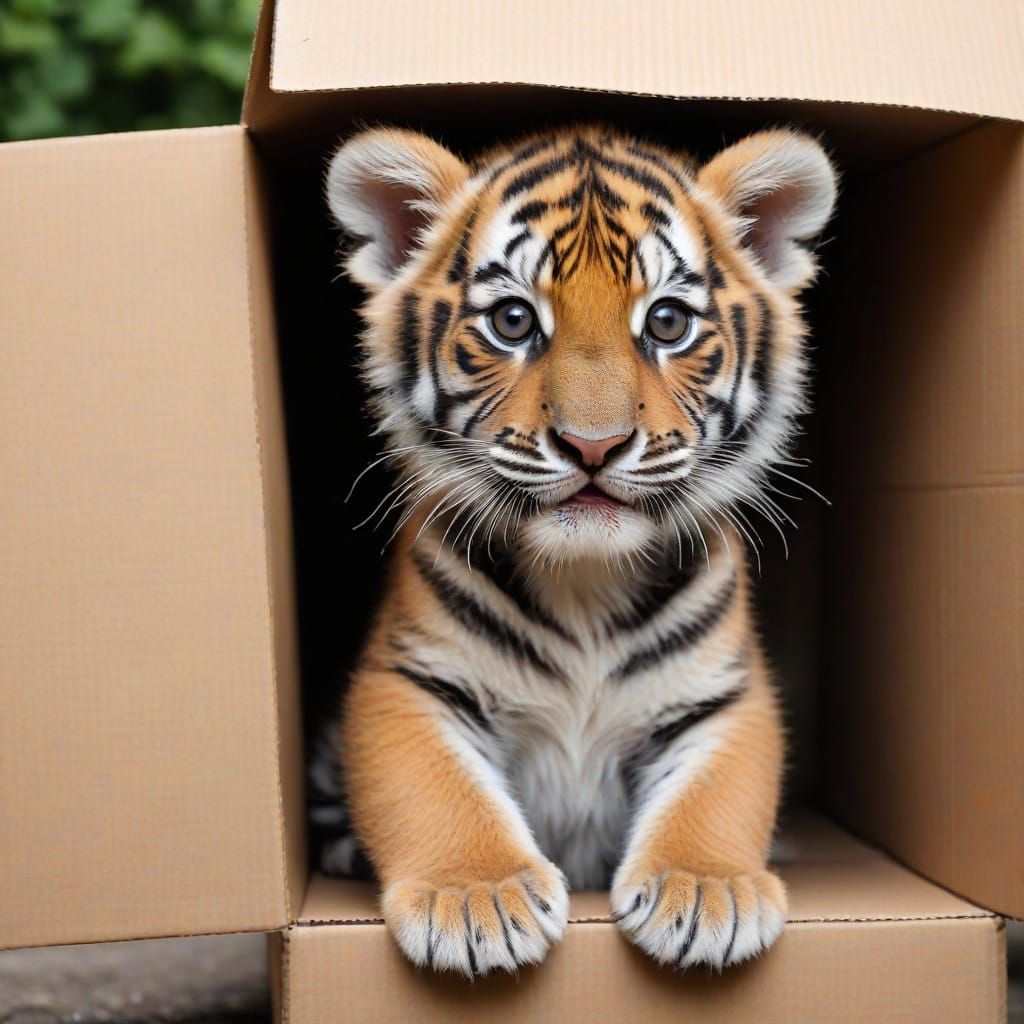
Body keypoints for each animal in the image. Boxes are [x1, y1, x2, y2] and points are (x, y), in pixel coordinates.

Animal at [309, 123, 837, 977]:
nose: (594, 445)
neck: (584, 581)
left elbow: (718, 791)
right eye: (513, 322)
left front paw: (706, 892)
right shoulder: (408, 678)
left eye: (667, 323)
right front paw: (478, 898)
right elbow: (434, 787)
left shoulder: (722, 693)